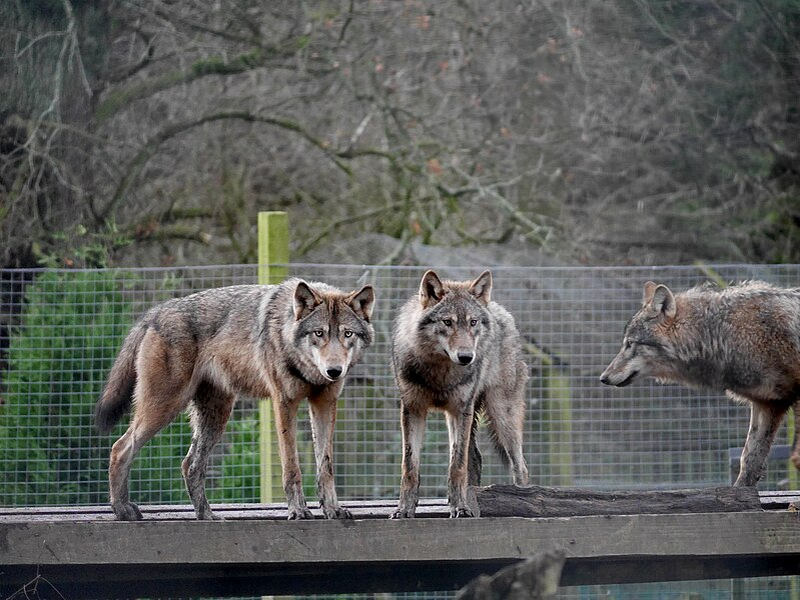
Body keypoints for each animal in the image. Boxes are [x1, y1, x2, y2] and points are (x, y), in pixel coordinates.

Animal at [95, 280, 376, 520]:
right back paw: (122, 510)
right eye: (319, 333)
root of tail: (155, 312)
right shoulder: (284, 403)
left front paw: (333, 510)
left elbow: (325, 467)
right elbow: (292, 467)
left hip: (216, 416)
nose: (334, 371)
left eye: (347, 334)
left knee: (189, 465)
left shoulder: (325, 403)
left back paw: (206, 516)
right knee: (120, 448)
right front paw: (298, 511)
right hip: (165, 406)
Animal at [390, 270, 528, 516]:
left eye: (472, 322)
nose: (466, 357)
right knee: (476, 459)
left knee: (519, 465)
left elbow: (456, 466)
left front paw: (461, 507)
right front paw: (405, 509)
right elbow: (410, 466)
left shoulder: (459, 410)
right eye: (447, 322)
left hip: (502, 417)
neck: (440, 372)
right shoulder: (412, 409)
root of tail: (499, 309)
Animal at [600, 278, 800, 486]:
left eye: (630, 344)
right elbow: (749, 460)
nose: (603, 378)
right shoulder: (768, 403)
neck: (722, 334)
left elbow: (795, 457)